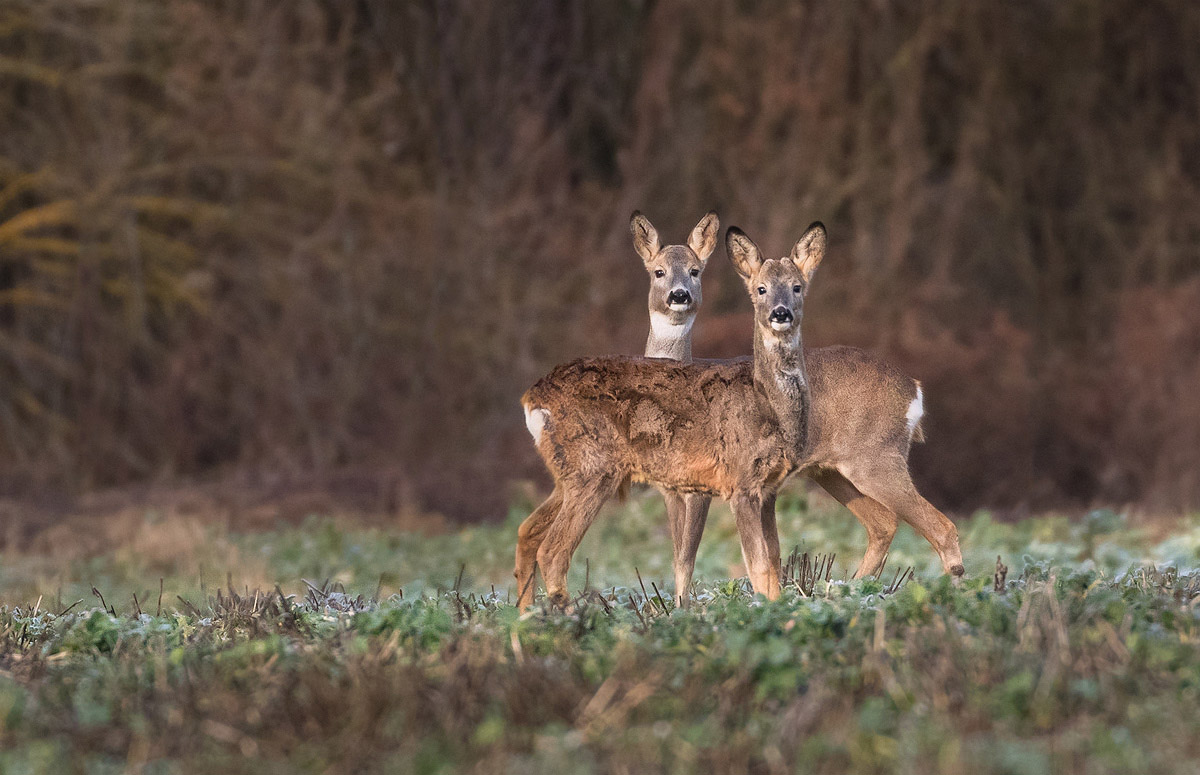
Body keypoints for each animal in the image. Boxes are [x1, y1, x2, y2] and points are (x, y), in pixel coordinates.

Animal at [520, 221, 830, 609]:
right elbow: (758, 565)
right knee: (553, 550)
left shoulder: (769, 488)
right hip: (592, 467)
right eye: (761, 289)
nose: (780, 313)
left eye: (797, 286)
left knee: (528, 532)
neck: (767, 404)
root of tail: (532, 397)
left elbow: (774, 561)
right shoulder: (740, 481)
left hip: (567, 473)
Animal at [628, 211, 964, 607]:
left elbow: (694, 557)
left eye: (696, 271)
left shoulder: (707, 487)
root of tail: (913, 388)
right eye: (658, 271)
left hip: (876, 458)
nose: (679, 295)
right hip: (832, 471)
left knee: (941, 527)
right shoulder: (674, 488)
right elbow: (682, 559)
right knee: (883, 523)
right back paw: (844, 592)